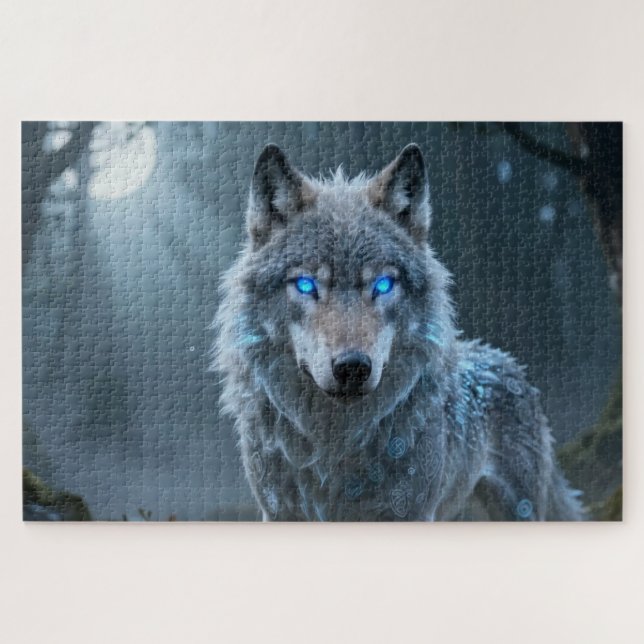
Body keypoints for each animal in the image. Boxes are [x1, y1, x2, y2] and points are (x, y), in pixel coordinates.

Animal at [214, 143, 584, 521]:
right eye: (305, 284)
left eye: (383, 284)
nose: (352, 367)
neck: (337, 443)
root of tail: (509, 363)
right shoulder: (279, 512)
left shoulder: (410, 513)